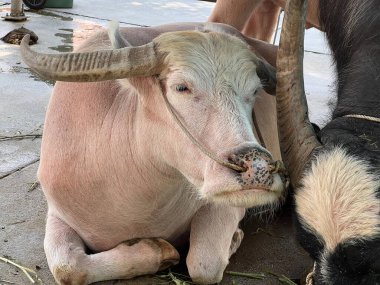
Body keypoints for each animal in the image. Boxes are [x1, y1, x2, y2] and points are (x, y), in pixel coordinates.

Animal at [20, 22, 286, 284]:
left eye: (254, 92)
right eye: (181, 87)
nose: (257, 168)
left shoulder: (227, 202)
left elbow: (204, 264)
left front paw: (233, 238)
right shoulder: (57, 213)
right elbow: (68, 268)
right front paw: (159, 251)